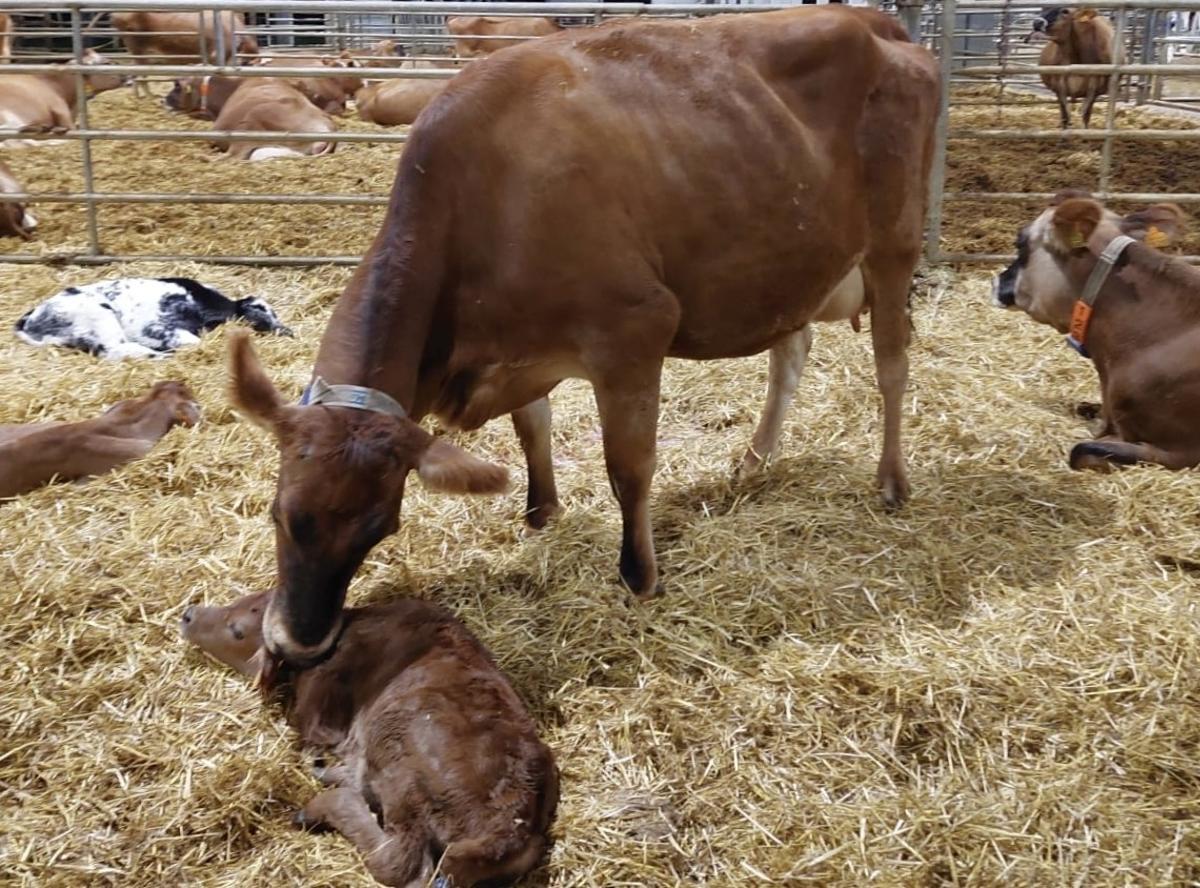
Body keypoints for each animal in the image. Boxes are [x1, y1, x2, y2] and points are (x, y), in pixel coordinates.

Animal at [15, 277, 290, 360]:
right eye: (263, 311)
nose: (287, 331)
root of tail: (29, 319)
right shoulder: (153, 326)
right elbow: (192, 342)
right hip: (99, 314)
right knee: (114, 351)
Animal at [105, 11, 259, 98]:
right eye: (249, 64)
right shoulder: (215, 57)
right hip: (138, 50)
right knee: (140, 75)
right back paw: (149, 97)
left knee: (135, 73)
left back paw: (139, 97)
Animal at [180, 591, 559, 887]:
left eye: (237, 631)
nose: (188, 614)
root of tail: (511, 828)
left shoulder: (319, 715)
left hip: (401, 766)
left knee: (402, 863)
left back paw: (322, 805)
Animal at [226, 6, 939, 666]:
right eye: (280, 513)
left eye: (382, 524)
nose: (296, 644)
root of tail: (875, 21)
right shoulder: (518, 349)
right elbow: (532, 428)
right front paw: (541, 512)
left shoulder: (634, 331)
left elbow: (629, 465)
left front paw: (639, 574)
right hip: (791, 268)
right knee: (790, 356)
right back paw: (754, 462)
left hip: (895, 247)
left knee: (893, 365)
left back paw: (892, 481)